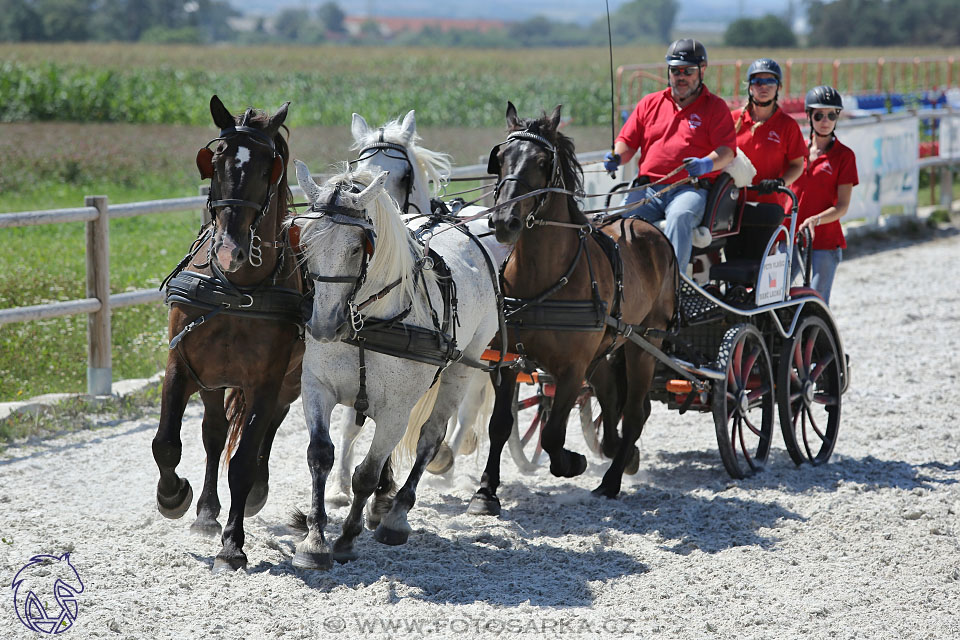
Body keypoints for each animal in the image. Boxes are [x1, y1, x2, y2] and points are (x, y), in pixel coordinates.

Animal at [153, 95, 304, 568]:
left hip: (289, 381)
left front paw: (233, 545)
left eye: (268, 167)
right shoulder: (182, 365)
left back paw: (254, 494)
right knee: (214, 433)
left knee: (268, 428)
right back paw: (205, 511)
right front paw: (174, 497)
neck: (237, 289)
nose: (229, 251)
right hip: (215, 379)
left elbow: (242, 461)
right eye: (215, 161)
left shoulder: (265, 380)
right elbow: (167, 443)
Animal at [290, 162, 502, 568]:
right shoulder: (317, 387)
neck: (367, 322)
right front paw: (315, 540)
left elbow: (367, 474)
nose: (323, 327)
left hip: (462, 367)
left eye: (358, 247)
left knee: (430, 439)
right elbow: (320, 455)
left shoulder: (395, 411)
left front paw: (347, 537)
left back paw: (396, 516)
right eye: (305, 243)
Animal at [324, 112, 510, 508]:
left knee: (465, 408)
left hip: (478, 352)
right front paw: (339, 486)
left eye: (404, 176)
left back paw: (448, 461)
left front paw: (383, 486)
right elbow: (351, 424)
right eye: (358, 166)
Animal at [468, 102, 680, 516]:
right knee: (613, 398)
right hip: (608, 348)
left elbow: (553, 434)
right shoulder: (506, 362)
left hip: (645, 343)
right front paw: (486, 492)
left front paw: (572, 462)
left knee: (635, 412)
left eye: (541, 161)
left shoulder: (571, 370)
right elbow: (500, 425)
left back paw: (612, 479)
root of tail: (649, 229)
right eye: (501, 158)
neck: (542, 276)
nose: (504, 221)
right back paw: (619, 452)